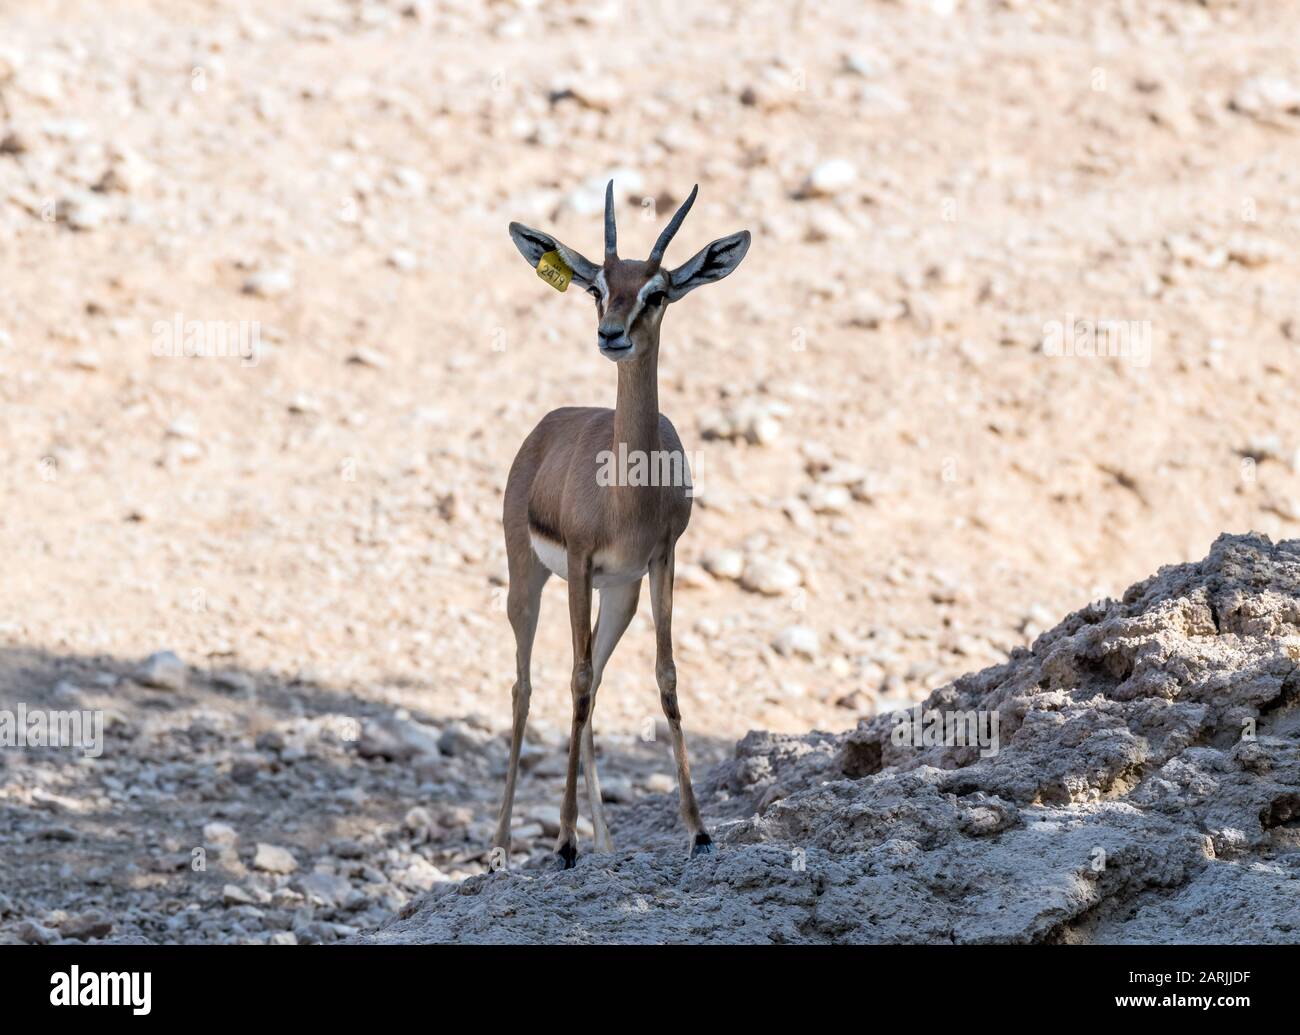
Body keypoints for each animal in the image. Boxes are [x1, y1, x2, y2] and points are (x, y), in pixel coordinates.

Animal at [493, 182, 750, 869]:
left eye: (656, 292)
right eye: (597, 287)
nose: (610, 335)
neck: (627, 492)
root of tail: (548, 425)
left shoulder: (660, 561)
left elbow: (664, 678)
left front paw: (698, 829)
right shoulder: (582, 563)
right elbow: (575, 681)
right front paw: (561, 841)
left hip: (621, 596)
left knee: (593, 681)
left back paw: (604, 843)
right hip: (529, 581)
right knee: (528, 686)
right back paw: (501, 849)